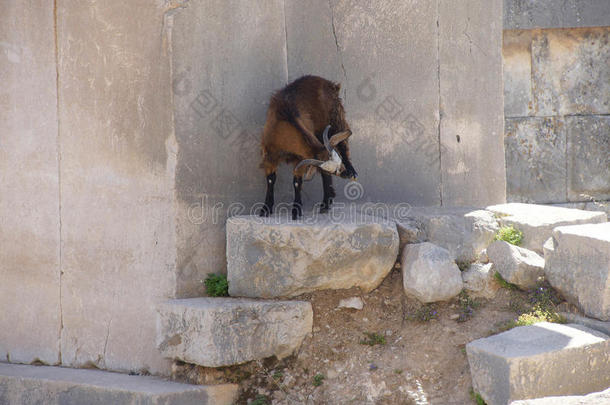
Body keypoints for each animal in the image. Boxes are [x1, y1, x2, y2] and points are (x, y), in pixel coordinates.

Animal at [258, 74, 356, 219]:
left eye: (339, 161)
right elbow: (270, 180)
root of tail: (330, 83)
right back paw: (326, 204)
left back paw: (352, 173)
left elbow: (297, 182)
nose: (344, 174)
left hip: (336, 117)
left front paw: (296, 211)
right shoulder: (269, 154)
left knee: (343, 143)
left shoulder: (300, 158)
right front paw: (265, 209)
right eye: (332, 170)